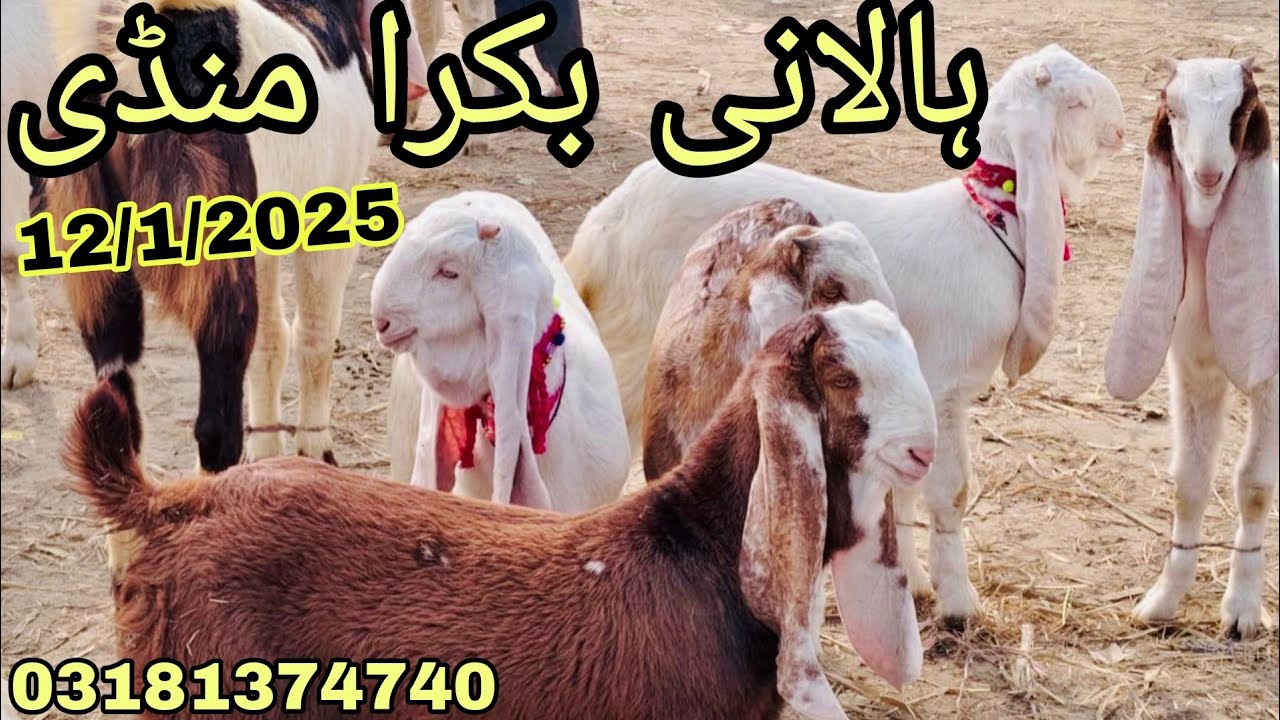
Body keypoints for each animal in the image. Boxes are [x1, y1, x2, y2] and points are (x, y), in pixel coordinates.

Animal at [1105, 57, 1278, 640]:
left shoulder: (1269, 377)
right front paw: (1163, 600)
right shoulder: (1193, 369)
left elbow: (1254, 484)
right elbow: (1190, 482)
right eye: (1173, 110)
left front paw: (1243, 609)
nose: (1207, 175)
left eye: (1241, 112)